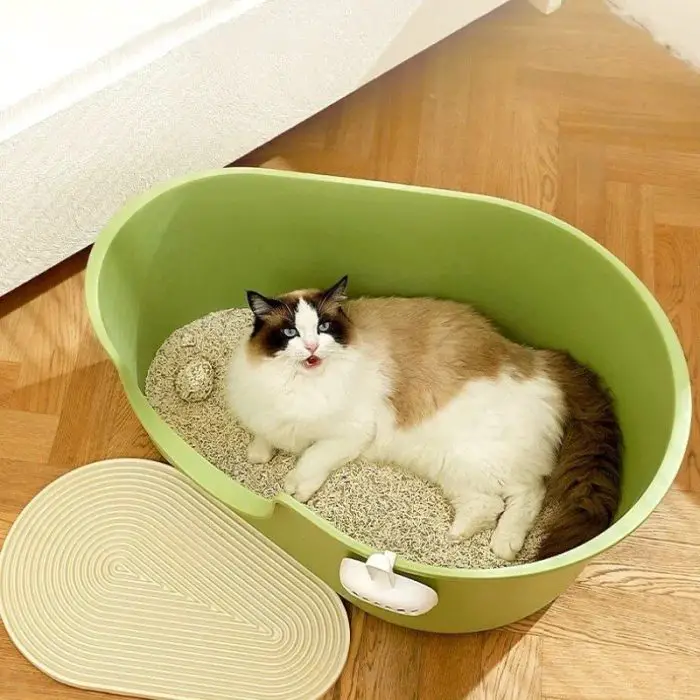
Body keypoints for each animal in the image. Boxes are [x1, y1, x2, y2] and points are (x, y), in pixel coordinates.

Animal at [227, 276, 620, 560]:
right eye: (290, 332)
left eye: (323, 328)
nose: (311, 348)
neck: (300, 385)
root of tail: (535, 357)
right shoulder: (266, 413)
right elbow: (264, 438)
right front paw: (260, 455)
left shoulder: (349, 434)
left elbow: (310, 459)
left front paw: (294, 489)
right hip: (452, 467)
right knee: (488, 505)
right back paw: (460, 533)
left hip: (474, 457)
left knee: (529, 492)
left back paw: (504, 546)